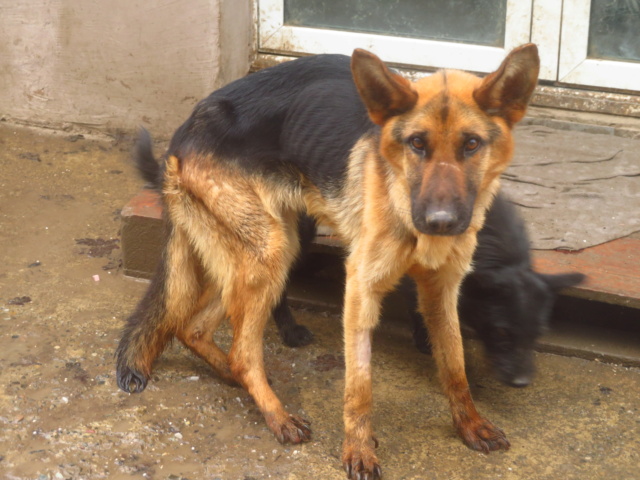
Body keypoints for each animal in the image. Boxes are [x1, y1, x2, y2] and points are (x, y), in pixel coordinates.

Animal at [116, 43, 540, 478]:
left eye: (471, 144)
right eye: (416, 144)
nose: (441, 221)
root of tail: (185, 130)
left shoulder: (441, 293)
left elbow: (455, 367)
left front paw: (469, 425)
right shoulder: (361, 289)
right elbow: (360, 386)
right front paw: (358, 449)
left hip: (271, 253)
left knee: (195, 329)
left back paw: (236, 380)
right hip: (269, 253)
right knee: (241, 352)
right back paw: (276, 415)